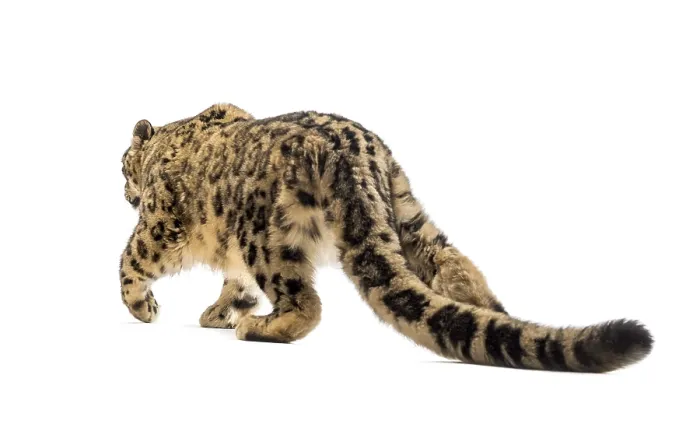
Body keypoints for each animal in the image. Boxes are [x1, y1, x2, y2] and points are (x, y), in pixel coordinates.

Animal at [119, 103, 653, 372]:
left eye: (122, 167)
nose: (124, 193)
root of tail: (357, 155)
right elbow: (236, 283)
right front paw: (217, 312)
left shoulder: (160, 223)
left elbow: (130, 259)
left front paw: (144, 307)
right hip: (411, 216)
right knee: (456, 267)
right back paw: (491, 309)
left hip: (266, 239)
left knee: (305, 304)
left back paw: (259, 328)